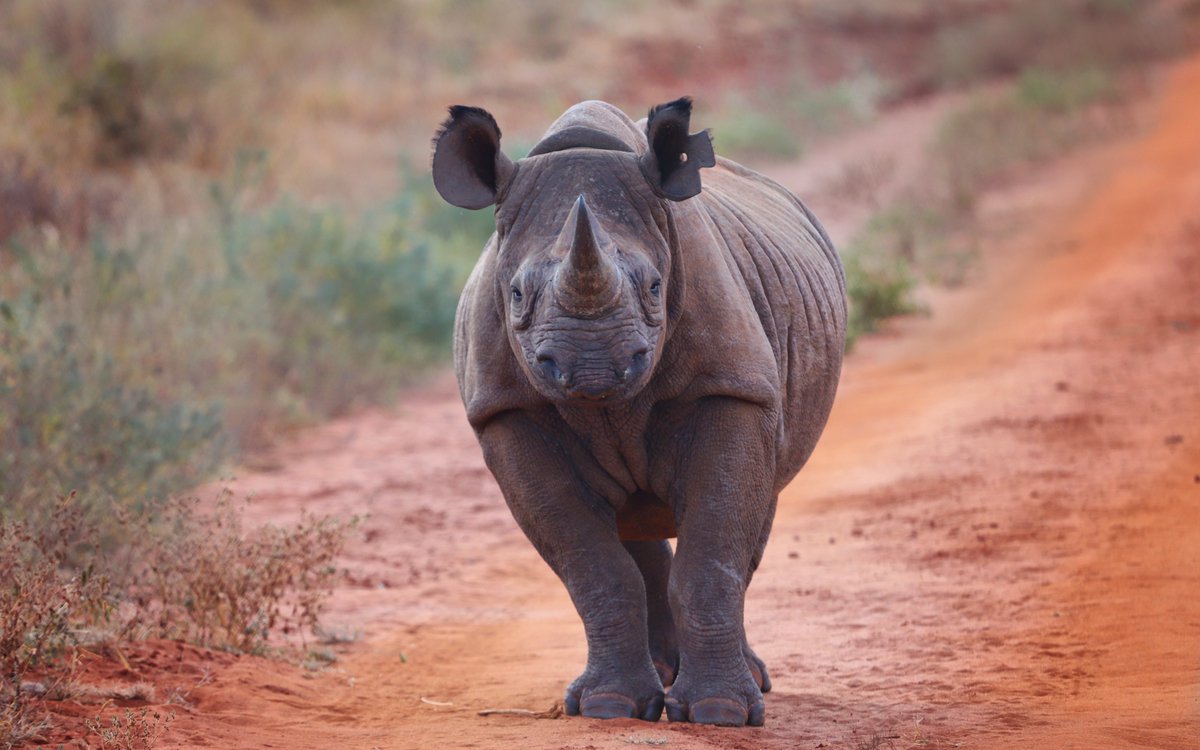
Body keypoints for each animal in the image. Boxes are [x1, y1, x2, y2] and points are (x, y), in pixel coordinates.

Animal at [431, 98, 846, 727]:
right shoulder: (506, 411)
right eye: (518, 296)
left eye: (654, 287)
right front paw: (609, 706)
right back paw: (655, 684)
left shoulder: (732, 387)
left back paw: (744, 683)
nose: (592, 367)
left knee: (754, 512)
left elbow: (714, 551)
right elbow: (593, 566)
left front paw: (721, 713)